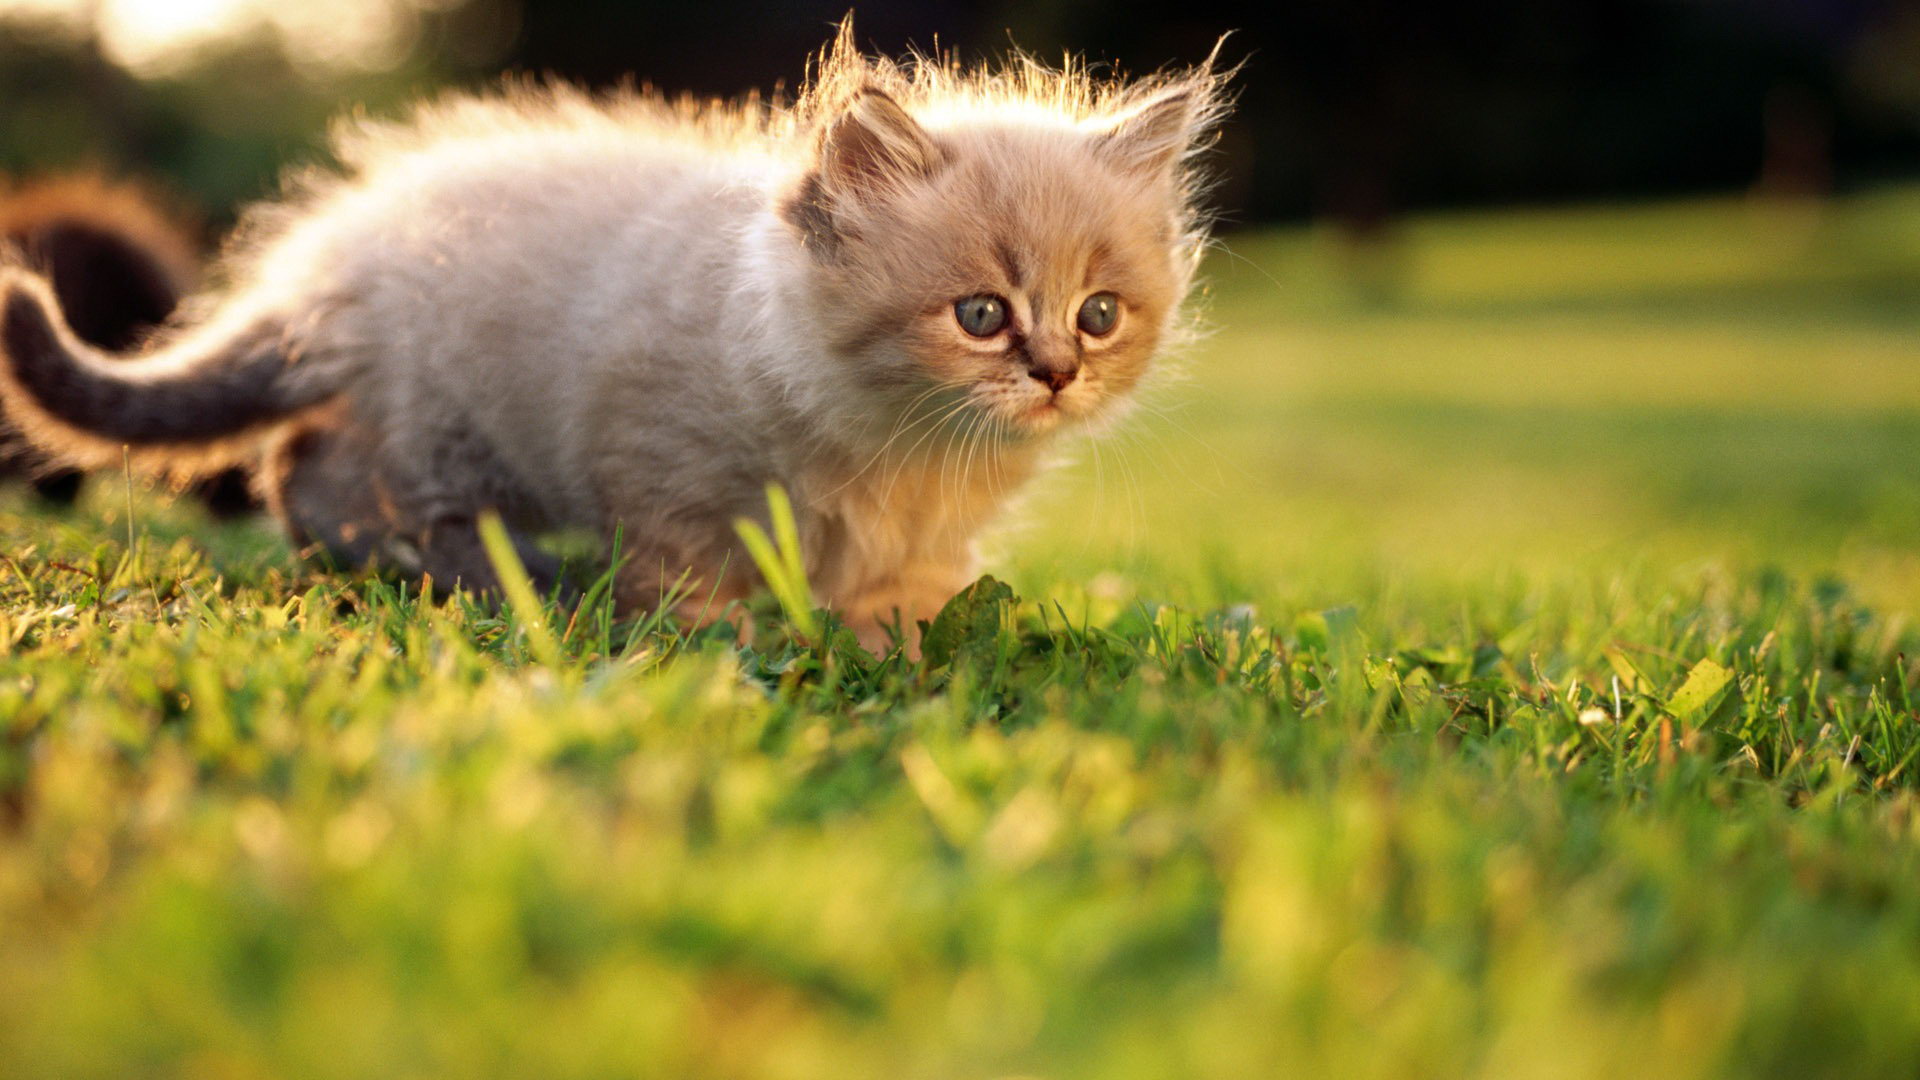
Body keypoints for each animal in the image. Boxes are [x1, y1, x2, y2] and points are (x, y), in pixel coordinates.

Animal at [0, 27, 1228, 645]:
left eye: (1099, 316)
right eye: (980, 316)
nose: (1057, 374)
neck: (902, 445)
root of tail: (328, 262)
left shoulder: (920, 537)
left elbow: (908, 603)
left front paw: (901, 649)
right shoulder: (657, 462)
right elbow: (693, 588)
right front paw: (730, 651)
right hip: (445, 429)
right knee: (313, 485)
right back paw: (511, 579)